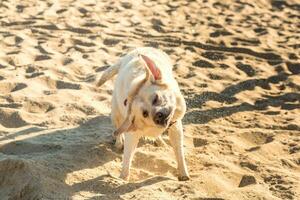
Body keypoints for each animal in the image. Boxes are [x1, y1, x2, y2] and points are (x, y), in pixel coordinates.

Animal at [96, 47, 190, 181]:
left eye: (156, 98)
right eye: (144, 113)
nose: (158, 116)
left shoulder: (176, 127)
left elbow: (179, 152)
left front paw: (183, 174)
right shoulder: (131, 133)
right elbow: (127, 158)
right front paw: (123, 178)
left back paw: (160, 142)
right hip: (115, 113)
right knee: (118, 129)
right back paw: (119, 142)